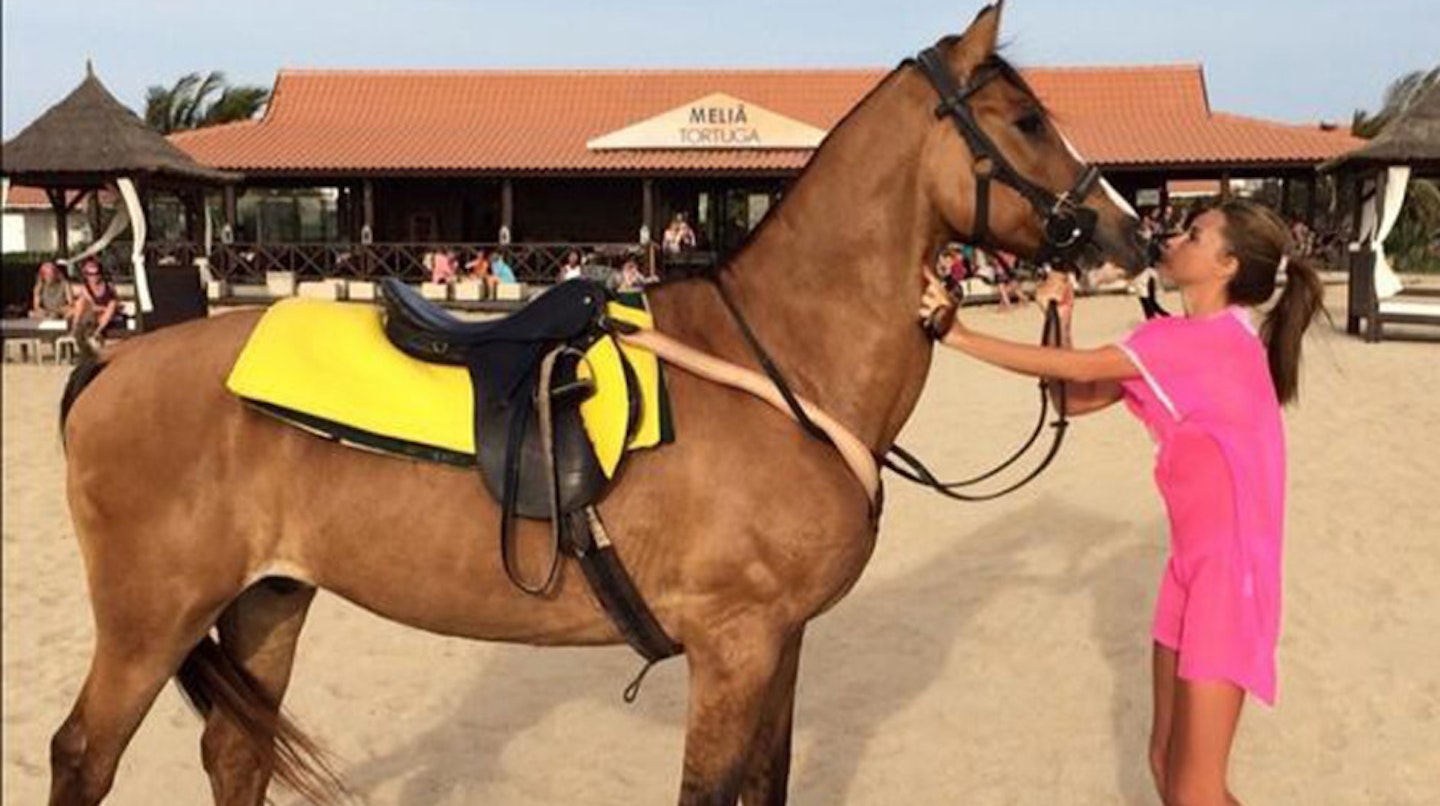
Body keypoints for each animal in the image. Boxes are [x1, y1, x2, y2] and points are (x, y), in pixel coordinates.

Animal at [50, 3, 1140, 800]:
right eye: (1027, 122)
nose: (1132, 232)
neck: (782, 362)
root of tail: (114, 363)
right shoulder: (735, 647)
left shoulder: (781, 645)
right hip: (152, 620)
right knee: (83, 754)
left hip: (266, 601)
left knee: (236, 752)